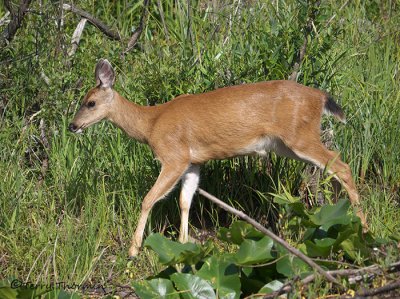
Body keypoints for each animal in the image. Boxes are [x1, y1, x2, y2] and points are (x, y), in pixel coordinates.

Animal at [68, 58, 366, 258]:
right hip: (287, 145)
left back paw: (363, 229)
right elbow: (185, 200)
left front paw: (133, 250)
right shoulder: (193, 161)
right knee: (334, 167)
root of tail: (321, 97)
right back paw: (339, 219)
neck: (150, 124)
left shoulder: (174, 156)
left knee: (343, 166)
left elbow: (148, 199)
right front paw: (183, 243)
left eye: (90, 102)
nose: (72, 126)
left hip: (300, 136)